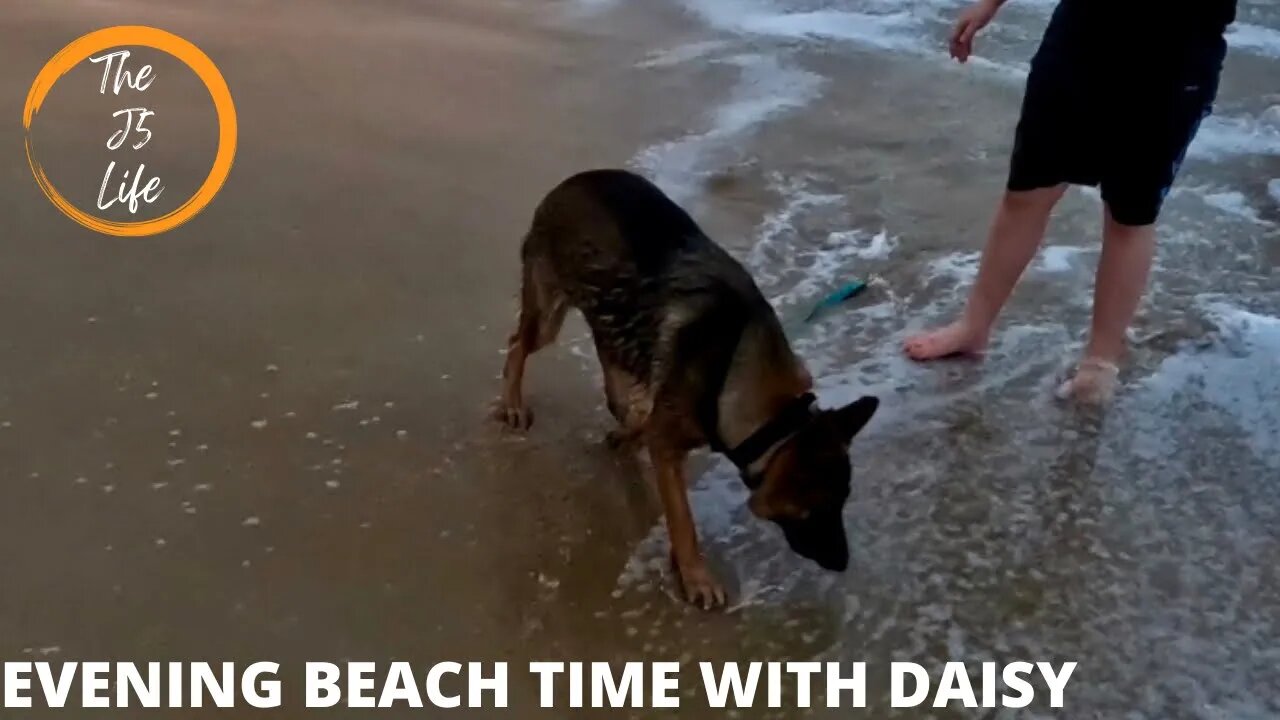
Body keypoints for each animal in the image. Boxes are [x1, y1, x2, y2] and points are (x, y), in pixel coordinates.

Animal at [494, 167, 875, 604]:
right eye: (815, 510)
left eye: (843, 501)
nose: (841, 564)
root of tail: (572, 181)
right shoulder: (668, 444)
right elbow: (682, 519)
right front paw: (695, 575)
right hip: (549, 317)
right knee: (518, 344)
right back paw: (513, 403)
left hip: (614, 326)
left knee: (614, 386)